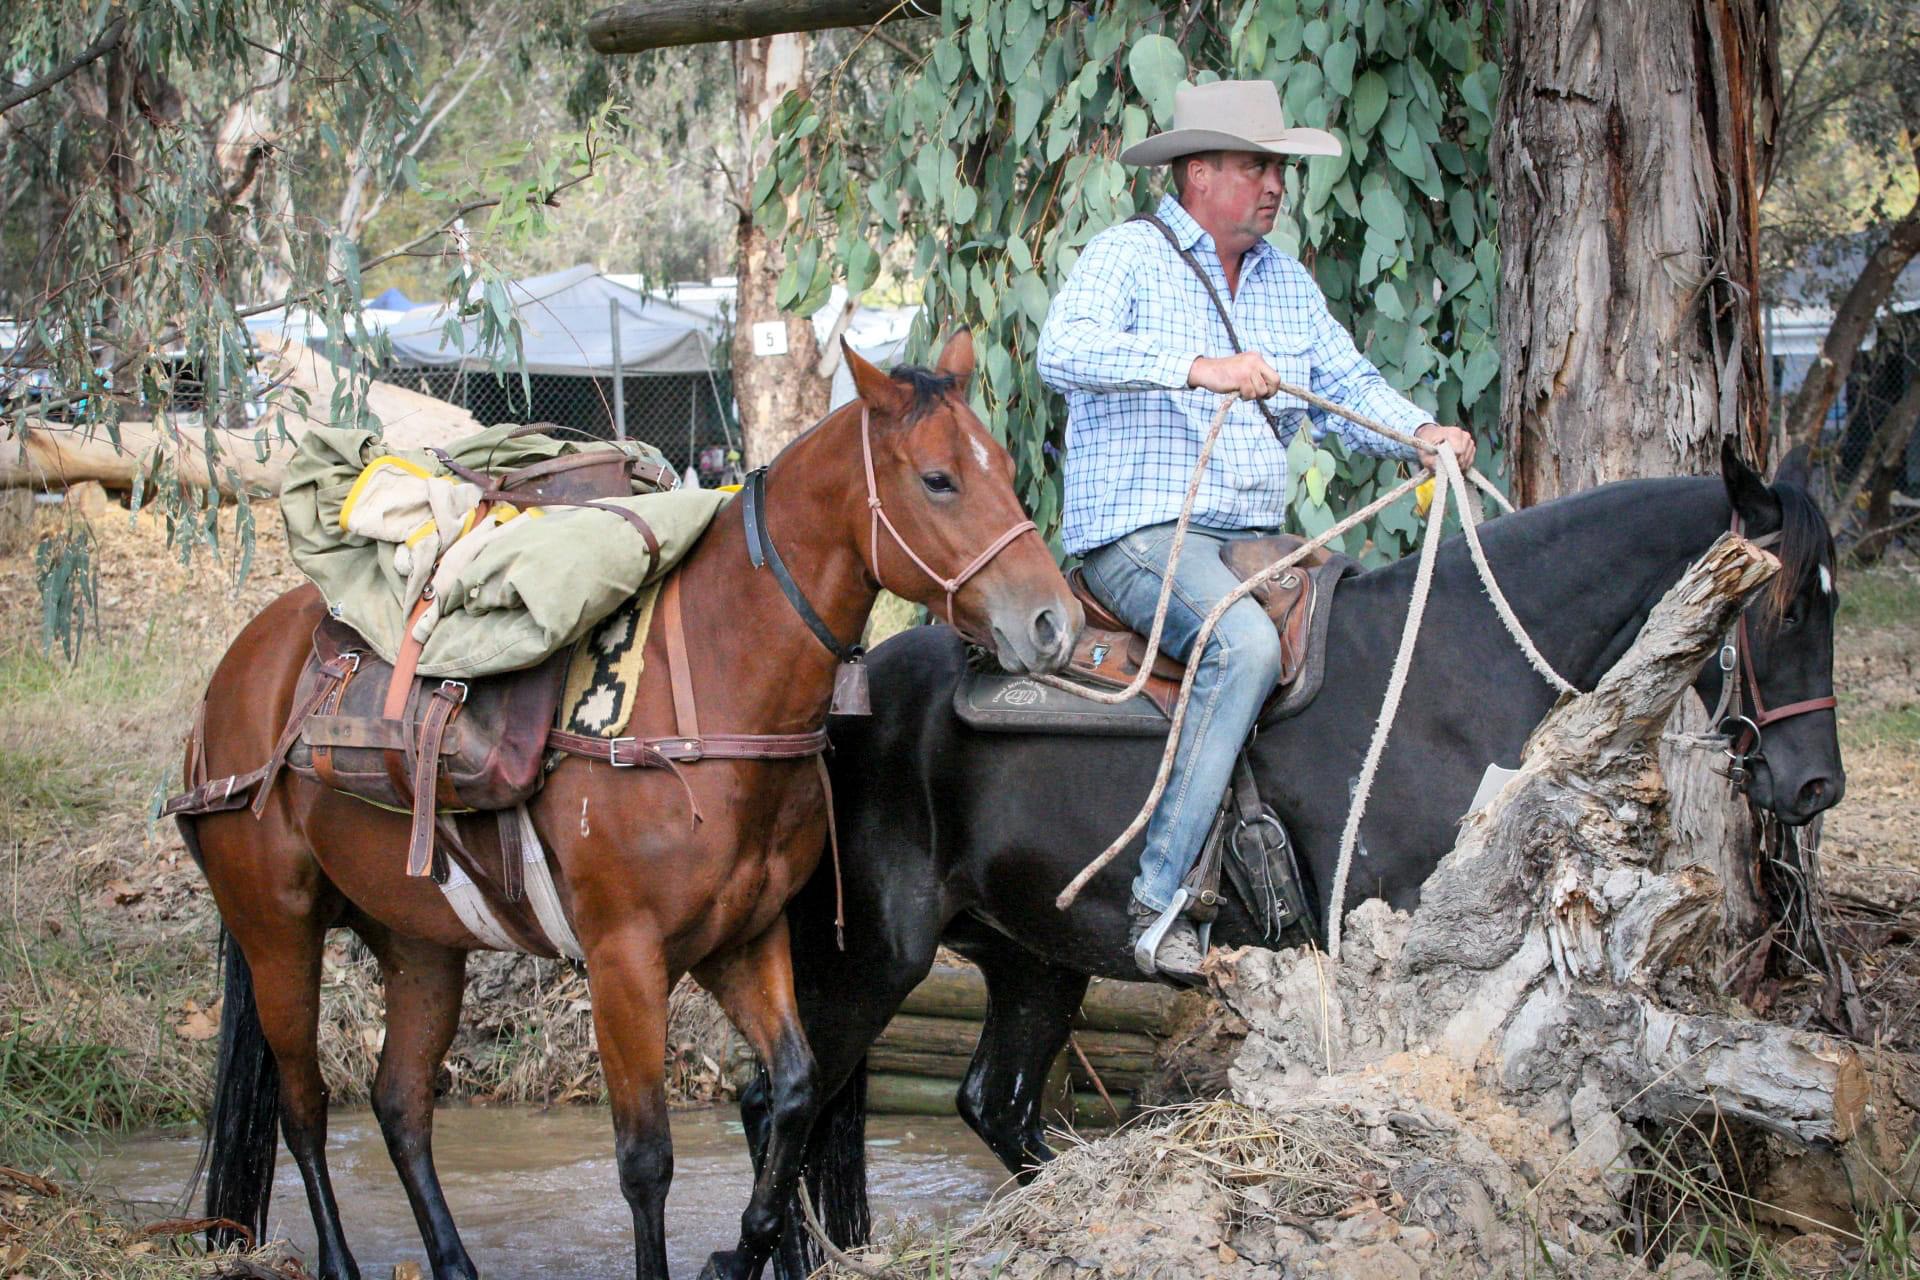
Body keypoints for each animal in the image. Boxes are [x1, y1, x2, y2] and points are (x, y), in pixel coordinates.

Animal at [178, 332, 1081, 1280]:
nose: (1052, 622)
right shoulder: (625, 961)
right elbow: (646, 1158)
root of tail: (237, 676)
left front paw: (737, 1254)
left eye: (1004, 467)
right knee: (305, 1106)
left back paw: (454, 1263)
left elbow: (794, 1090)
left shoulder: (744, 940)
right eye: (940, 479)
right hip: (276, 928)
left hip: (418, 938)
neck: (712, 696)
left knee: (399, 1101)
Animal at [739, 444, 1846, 1278]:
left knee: (990, 1102)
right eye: (1788, 605)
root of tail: (844, 696)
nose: (1814, 787)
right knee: (782, 1101)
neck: (1456, 664)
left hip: (1033, 957)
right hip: (866, 956)